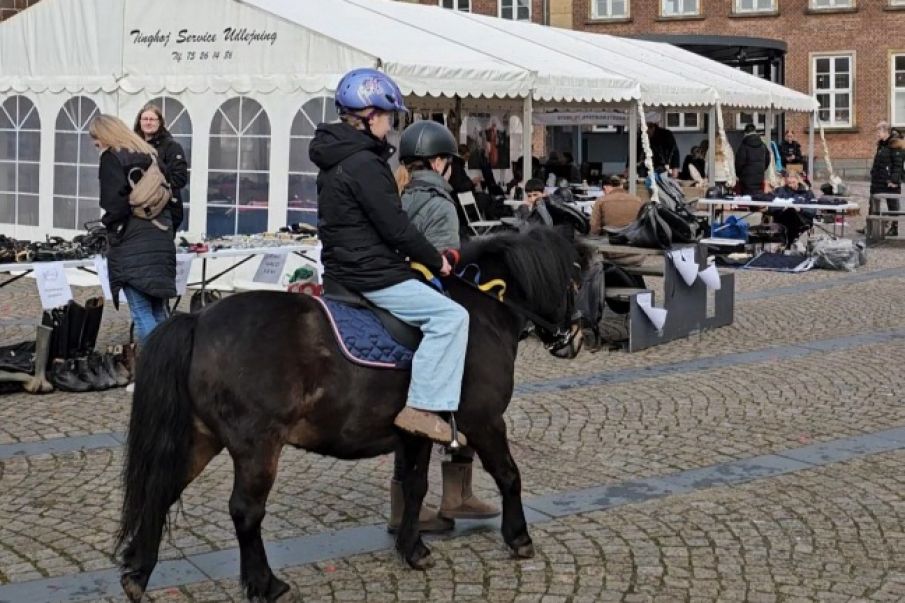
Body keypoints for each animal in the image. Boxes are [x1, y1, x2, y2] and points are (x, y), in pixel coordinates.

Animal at [116, 229, 584, 600]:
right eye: (579, 274)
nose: (578, 337)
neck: (480, 312)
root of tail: (198, 320)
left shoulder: (417, 432)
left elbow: (414, 487)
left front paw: (413, 549)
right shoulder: (484, 421)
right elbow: (509, 475)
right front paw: (519, 538)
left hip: (202, 437)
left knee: (161, 490)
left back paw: (138, 573)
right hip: (256, 446)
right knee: (245, 511)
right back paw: (266, 584)